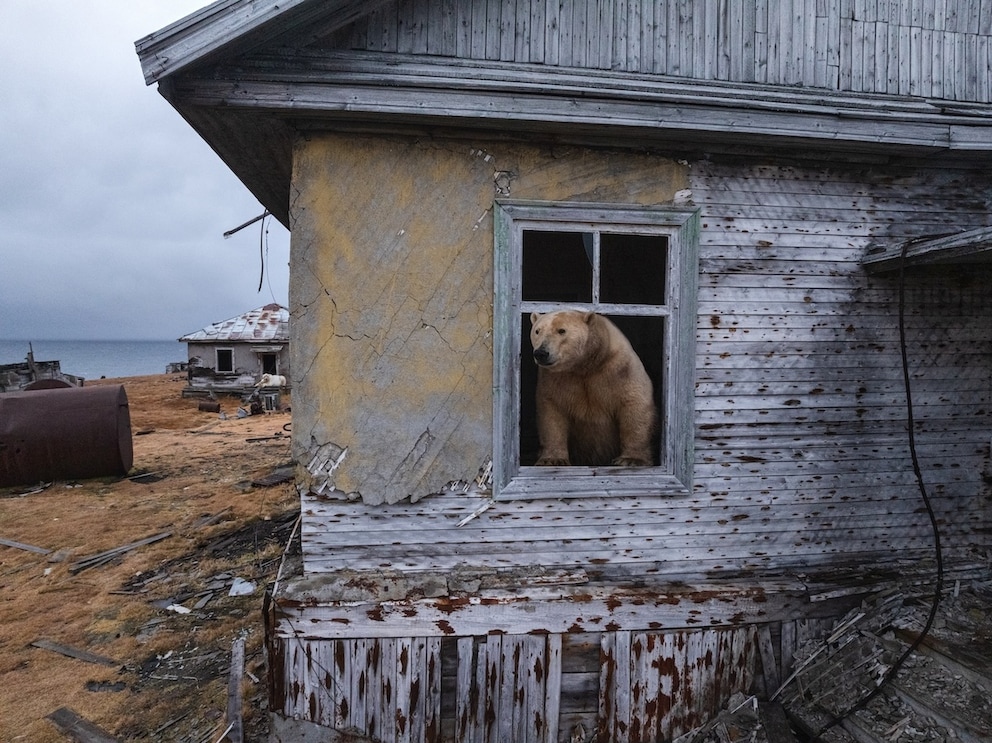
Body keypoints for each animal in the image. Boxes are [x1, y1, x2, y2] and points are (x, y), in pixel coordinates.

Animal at [530, 310, 657, 467]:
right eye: (537, 331)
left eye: (561, 330)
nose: (541, 353)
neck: (587, 365)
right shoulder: (555, 379)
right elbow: (552, 413)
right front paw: (552, 460)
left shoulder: (620, 369)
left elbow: (634, 405)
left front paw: (631, 459)